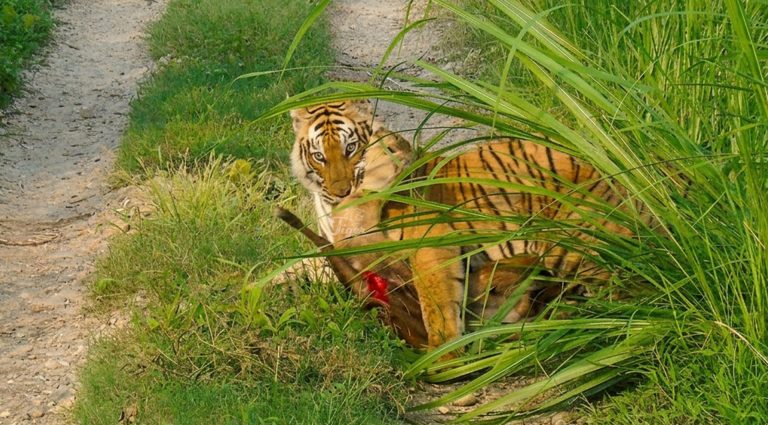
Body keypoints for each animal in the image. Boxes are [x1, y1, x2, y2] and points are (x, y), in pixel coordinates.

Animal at [286, 99, 650, 350]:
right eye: (320, 156)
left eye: (353, 148)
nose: (341, 190)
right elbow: (298, 266)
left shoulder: (430, 243)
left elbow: (437, 304)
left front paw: (444, 355)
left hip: (569, 245)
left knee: (626, 287)